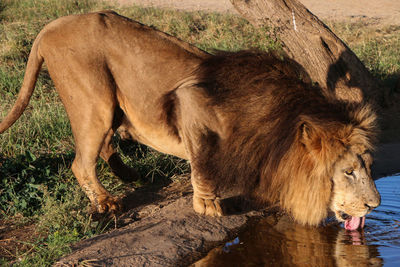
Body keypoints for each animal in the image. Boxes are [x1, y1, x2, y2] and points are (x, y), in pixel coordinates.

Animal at [0, 10, 382, 228]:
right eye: (348, 172)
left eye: (368, 166)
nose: (375, 205)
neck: (279, 125)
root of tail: (48, 28)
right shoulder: (190, 104)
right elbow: (202, 166)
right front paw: (209, 207)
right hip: (94, 101)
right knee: (81, 161)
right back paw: (107, 201)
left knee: (106, 144)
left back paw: (131, 175)